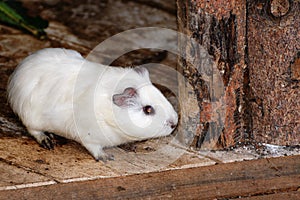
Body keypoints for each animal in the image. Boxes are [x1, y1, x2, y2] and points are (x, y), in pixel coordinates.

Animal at [7, 48, 177, 161]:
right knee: (34, 131)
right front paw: (107, 157)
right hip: (31, 118)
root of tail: (15, 77)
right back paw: (48, 141)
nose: (174, 123)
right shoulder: (88, 136)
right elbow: (94, 148)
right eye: (148, 110)